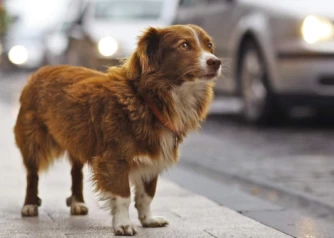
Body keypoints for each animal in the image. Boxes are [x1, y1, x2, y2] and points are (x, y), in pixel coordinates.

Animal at [13, 24, 222, 236]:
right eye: (184, 45)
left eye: (209, 45)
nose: (216, 62)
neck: (147, 99)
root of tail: (41, 71)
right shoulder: (115, 159)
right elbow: (123, 196)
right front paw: (123, 224)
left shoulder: (152, 158)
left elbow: (147, 195)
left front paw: (147, 220)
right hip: (33, 140)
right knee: (32, 174)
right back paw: (29, 205)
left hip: (76, 139)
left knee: (76, 172)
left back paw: (77, 203)